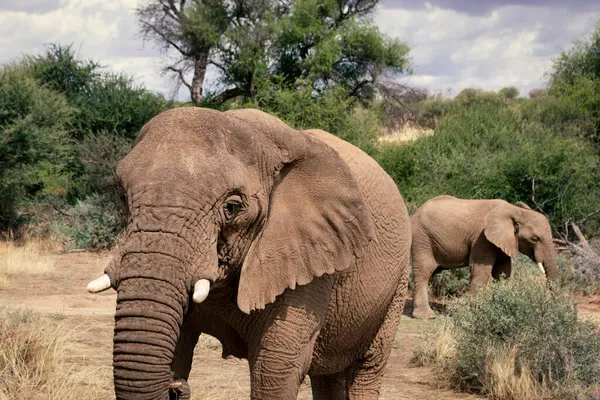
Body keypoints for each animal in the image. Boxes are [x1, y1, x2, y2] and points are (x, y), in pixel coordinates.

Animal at [86, 107, 410, 400]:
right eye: (121, 197)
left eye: (232, 207)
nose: (177, 388)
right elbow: (176, 345)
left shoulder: (308, 263)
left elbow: (275, 372)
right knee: (326, 376)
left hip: (397, 286)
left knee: (366, 369)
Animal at [410, 195, 560, 320]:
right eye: (535, 239)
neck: (514, 210)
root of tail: (414, 212)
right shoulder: (482, 238)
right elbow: (481, 271)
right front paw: (473, 312)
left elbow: (503, 272)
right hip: (421, 239)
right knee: (423, 272)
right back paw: (426, 316)